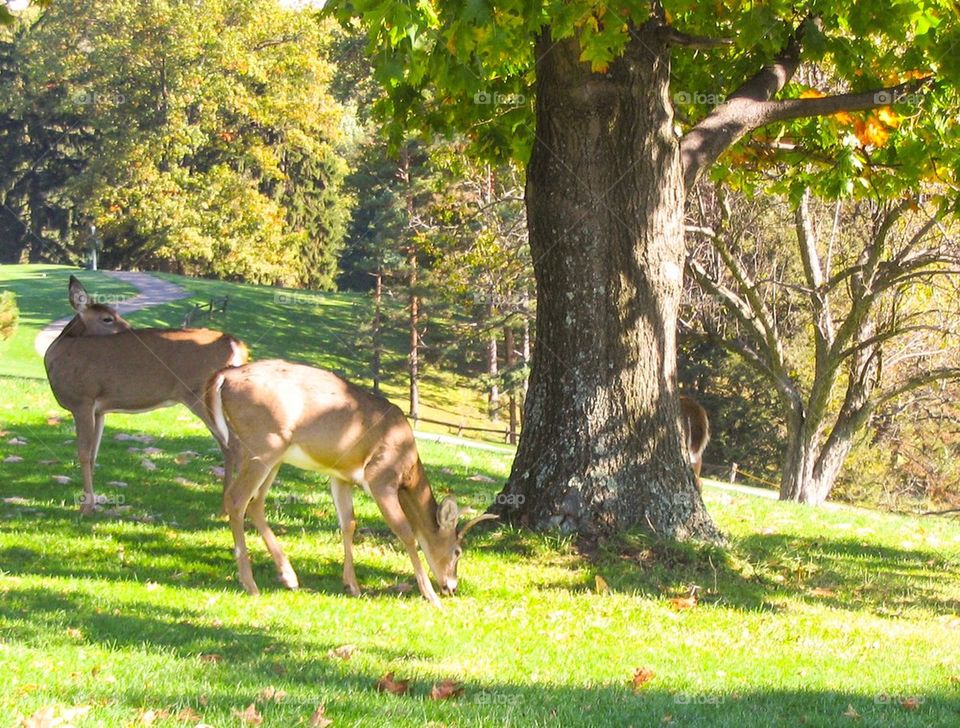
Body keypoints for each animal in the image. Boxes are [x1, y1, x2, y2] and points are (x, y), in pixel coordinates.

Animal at [43, 275, 248, 514]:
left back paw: (233, 509)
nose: (131, 329)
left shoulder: (82, 400)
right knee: (231, 447)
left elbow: (83, 454)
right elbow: (94, 454)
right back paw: (228, 507)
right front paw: (91, 503)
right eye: (107, 318)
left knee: (236, 446)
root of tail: (238, 345)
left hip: (200, 395)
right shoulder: (99, 410)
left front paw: (86, 508)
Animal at [205, 359, 497, 607]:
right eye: (457, 551)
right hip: (265, 443)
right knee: (237, 499)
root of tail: (225, 376)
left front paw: (353, 586)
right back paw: (250, 583)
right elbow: (405, 531)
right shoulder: (380, 476)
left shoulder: (341, 476)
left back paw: (289, 576)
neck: (408, 466)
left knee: (255, 503)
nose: (451, 586)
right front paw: (430, 595)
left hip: (273, 454)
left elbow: (349, 523)